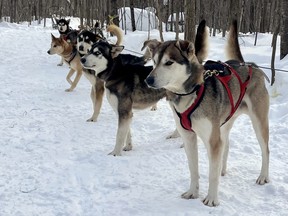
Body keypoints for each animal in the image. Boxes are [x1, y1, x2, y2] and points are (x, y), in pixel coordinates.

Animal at [145, 19, 268, 206]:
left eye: (169, 62)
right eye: (154, 61)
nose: (148, 79)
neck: (192, 92)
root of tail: (247, 65)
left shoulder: (212, 141)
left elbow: (211, 175)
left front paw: (211, 198)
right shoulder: (189, 138)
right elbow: (193, 169)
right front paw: (192, 192)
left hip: (258, 123)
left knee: (265, 150)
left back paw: (263, 176)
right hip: (223, 124)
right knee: (226, 145)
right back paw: (222, 170)